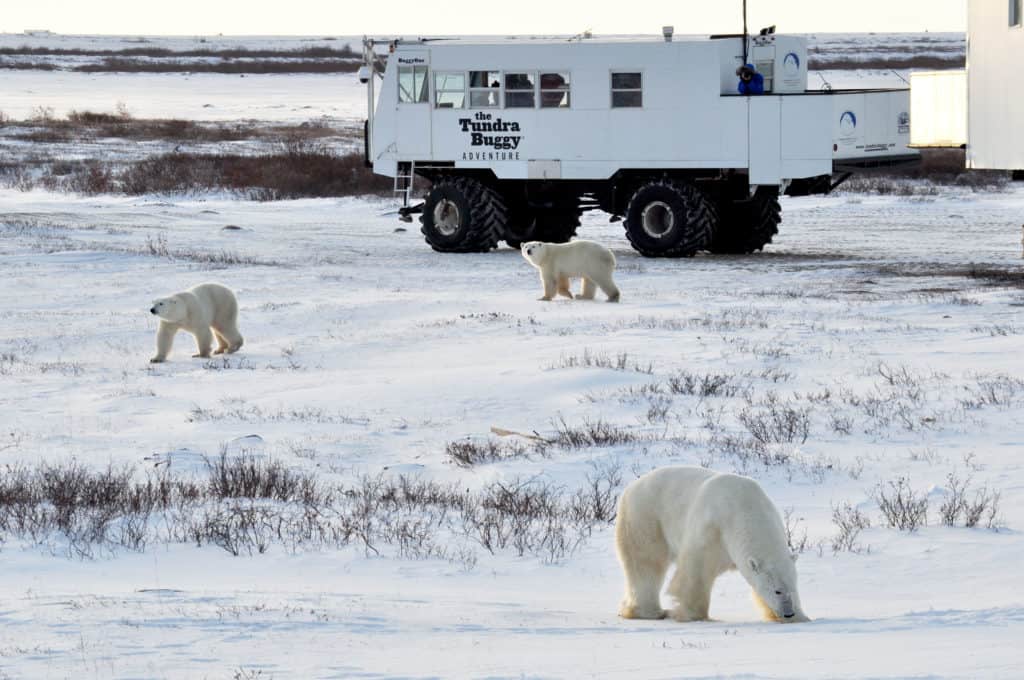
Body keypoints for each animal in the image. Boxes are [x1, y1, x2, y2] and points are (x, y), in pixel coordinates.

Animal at [615, 466, 809, 624]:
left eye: (792, 588)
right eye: (777, 591)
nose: (788, 613)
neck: (746, 507)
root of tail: (631, 487)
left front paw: (801, 617)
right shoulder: (713, 527)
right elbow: (696, 570)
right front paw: (694, 614)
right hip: (645, 517)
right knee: (646, 563)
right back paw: (652, 612)